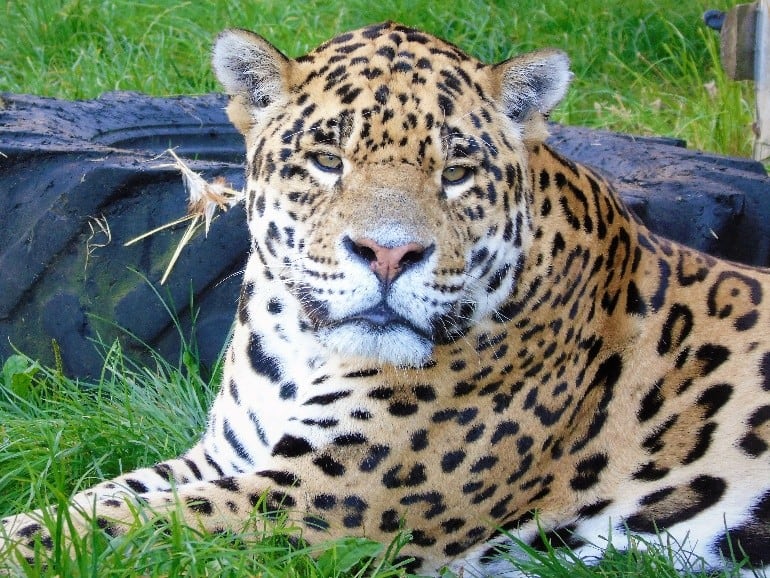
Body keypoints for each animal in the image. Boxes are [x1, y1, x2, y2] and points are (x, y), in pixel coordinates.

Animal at [2, 21, 770, 577]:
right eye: (326, 160)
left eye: (457, 172)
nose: (389, 254)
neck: (301, 343)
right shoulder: (224, 457)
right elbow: (99, 496)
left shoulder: (317, 497)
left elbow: (116, 523)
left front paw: (16, 543)